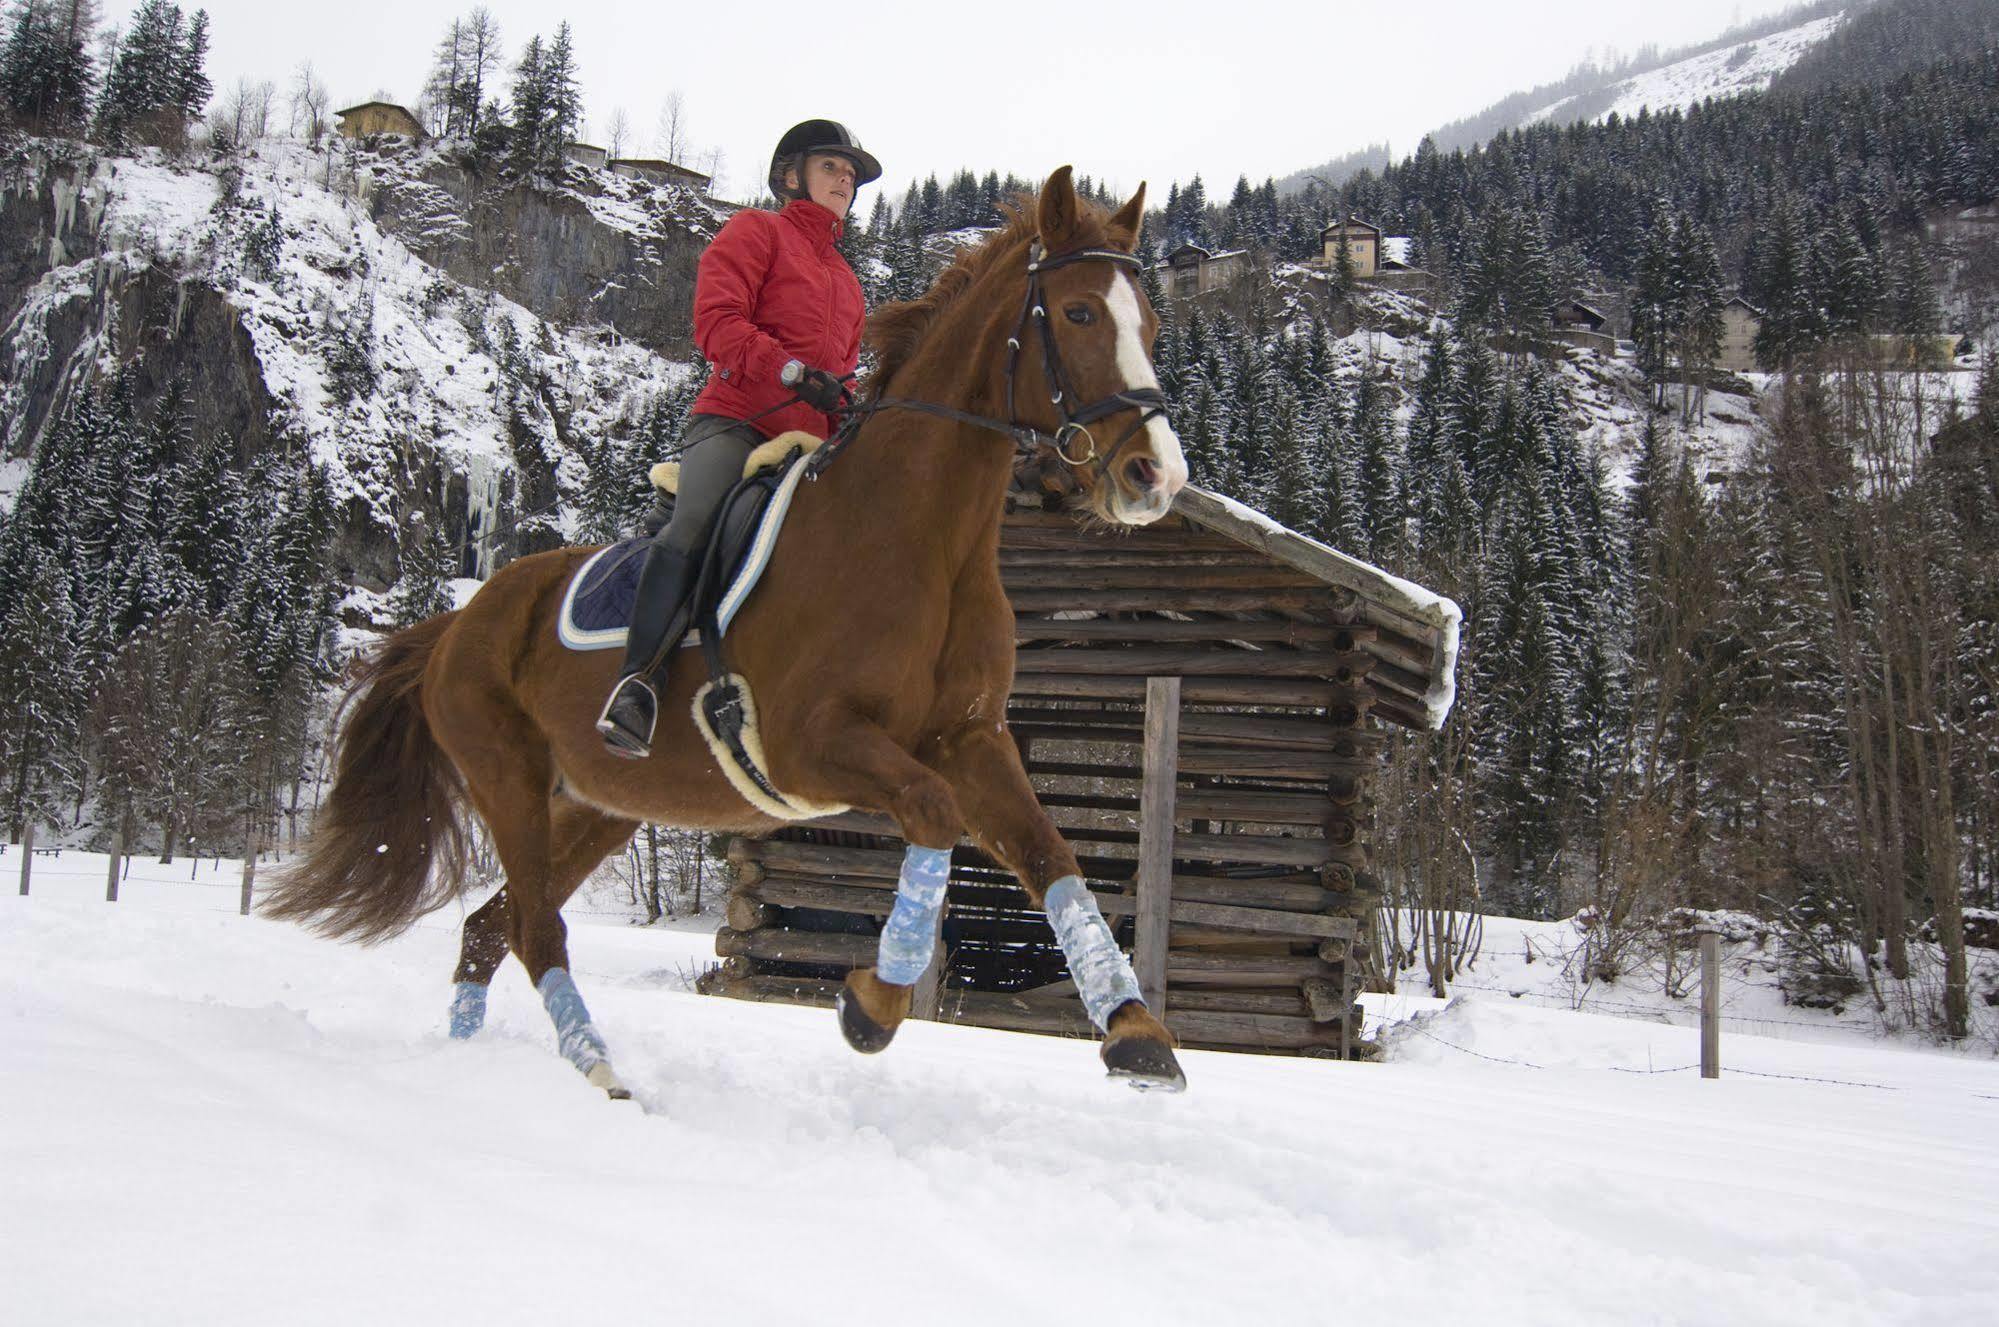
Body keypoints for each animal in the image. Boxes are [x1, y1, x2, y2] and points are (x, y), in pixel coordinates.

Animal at [263, 168, 1183, 1095]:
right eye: (1078, 313)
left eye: (1150, 323)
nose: (1156, 475)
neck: (925, 540)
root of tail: (459, 620)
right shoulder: (811, 743)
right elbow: (932, 813)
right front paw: (873, 1002)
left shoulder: (971, 740)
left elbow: (1050, 855)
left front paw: (1135, 1030)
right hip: (505, 775)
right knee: (531, 927)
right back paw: (600, 1070)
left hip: (600, 803)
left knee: (494, 925)